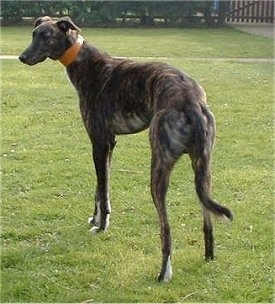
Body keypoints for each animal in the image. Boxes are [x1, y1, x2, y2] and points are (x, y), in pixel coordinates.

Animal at [19, 16, 233, 282]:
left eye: (46, 36)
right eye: (33, 34)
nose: (22, 57)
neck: (87, 64)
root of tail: (191, 101)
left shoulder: (99, 143)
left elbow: (102, 190)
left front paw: (100, 226)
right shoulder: (109, 145)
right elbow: (101, 190)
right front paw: (97, 219)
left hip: (158, 169)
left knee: (166, 227)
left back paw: (164, 273)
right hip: (203, 168)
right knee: (208, 216)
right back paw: (208, 256)